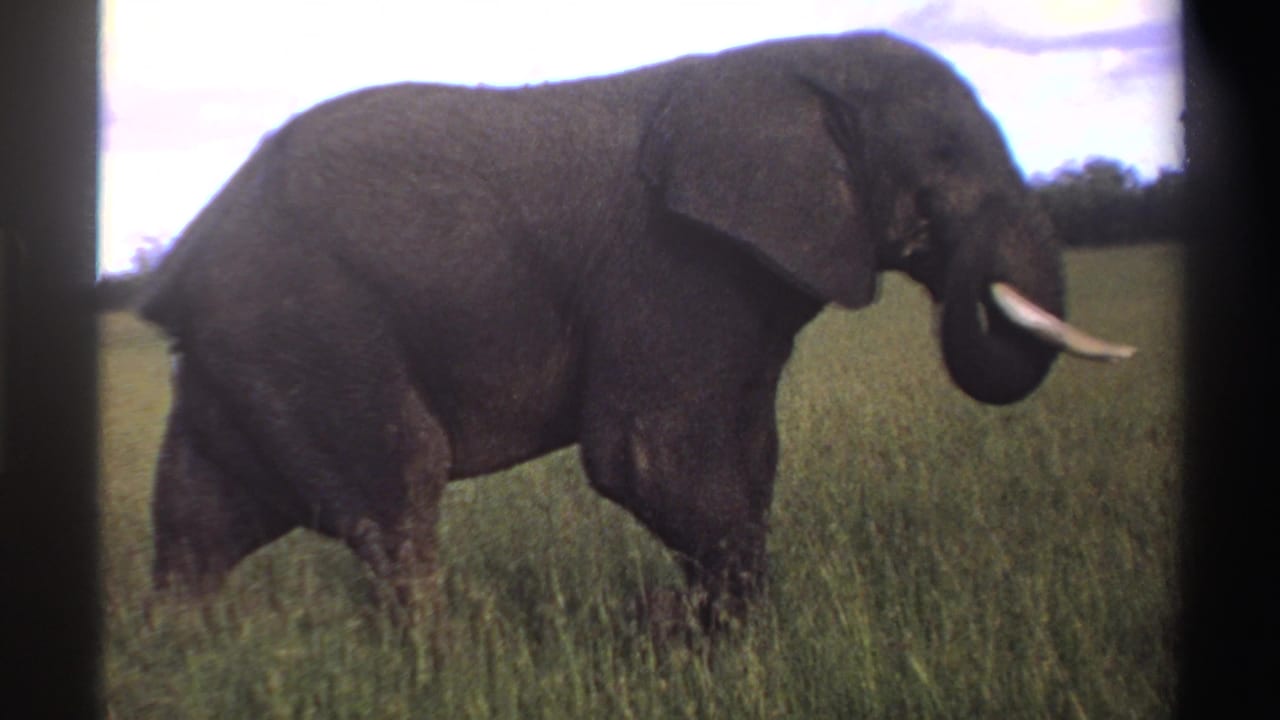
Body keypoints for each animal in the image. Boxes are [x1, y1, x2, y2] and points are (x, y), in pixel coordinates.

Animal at [136, 31, 1133, 627]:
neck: (788, 57)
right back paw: (438, 664)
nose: (963, 282)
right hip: (313, 322)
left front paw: (695, 634)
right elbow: (652, 458)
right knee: (398, 494)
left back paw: (194, 659)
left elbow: (747, 451)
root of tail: (176, 267)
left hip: (251, 352)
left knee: (199, 519)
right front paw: (713, 638)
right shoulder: (667, 259)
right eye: (945, 156)